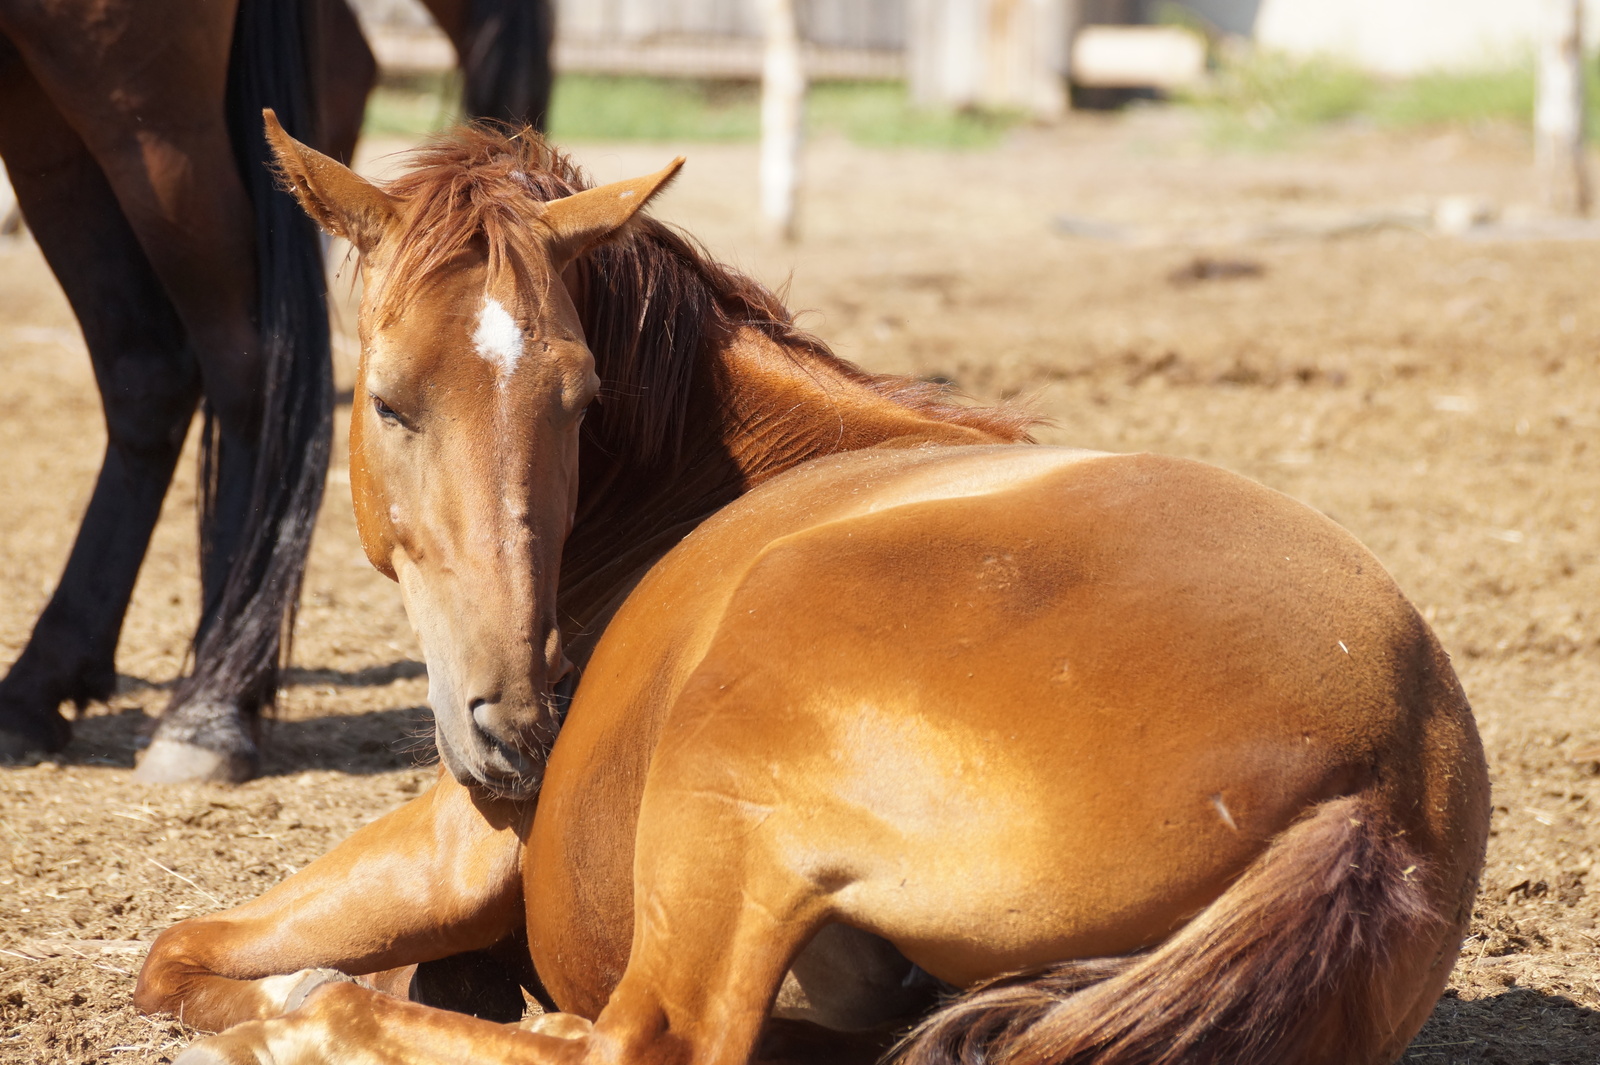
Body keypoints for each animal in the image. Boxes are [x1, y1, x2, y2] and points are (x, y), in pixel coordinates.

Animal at [0, 0, 556, 780]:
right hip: (41, 107)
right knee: (143, 364)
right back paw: (41, 686)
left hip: (130, 88)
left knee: (242, 361)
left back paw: (208, 708)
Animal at [131, 114, 1491, 1061]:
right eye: (389, 401)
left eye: (579, 400)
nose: (515, 728)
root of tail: (1370, 788)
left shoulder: (454, 844)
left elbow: (179, 952)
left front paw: (288, 996)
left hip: (728, 787)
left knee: (645, 1040)